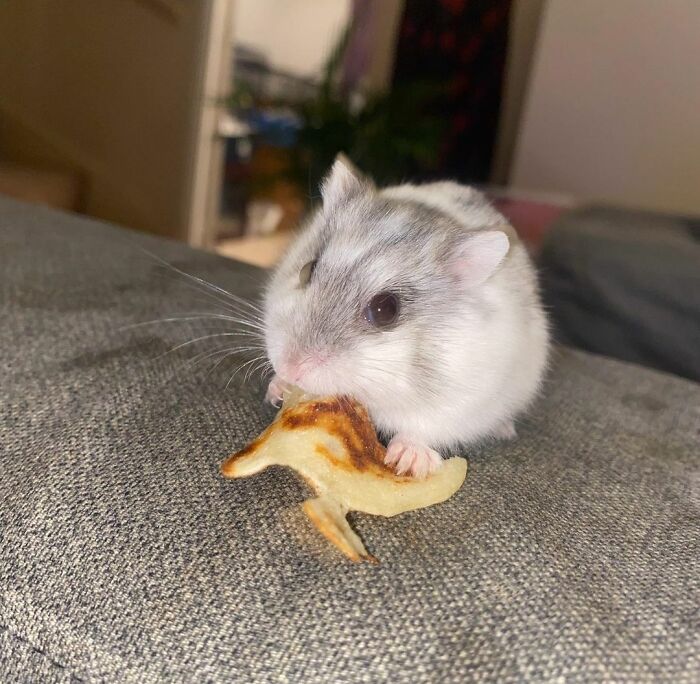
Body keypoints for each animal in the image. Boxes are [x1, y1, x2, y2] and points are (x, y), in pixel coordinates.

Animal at [263, 155, 549, 478]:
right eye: (307, 270)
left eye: (385, 310)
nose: (290, 368)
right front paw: (277, 388)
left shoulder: (460, 403)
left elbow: (423, 427)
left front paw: (406, 461)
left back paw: (504, 429)